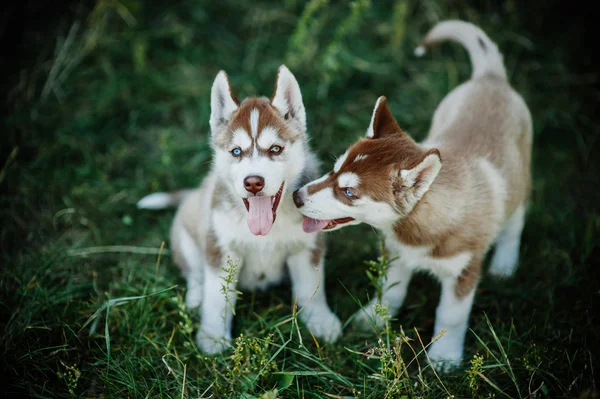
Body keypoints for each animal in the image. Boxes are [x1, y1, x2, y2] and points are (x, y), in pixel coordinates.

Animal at [138, 66, 340, 356]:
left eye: (275, 149)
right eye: (236, 151)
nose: (253, 182)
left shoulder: (307, 246)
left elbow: (312, 287)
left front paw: (321, 321)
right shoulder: (221, 249)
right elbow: (216, 297)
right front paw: (212, 335)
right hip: (186, 237)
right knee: (194, 274)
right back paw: (195, 298)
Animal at [292, 21, 532, 372]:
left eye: (349, 192)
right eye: (333, 170)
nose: (296, 196)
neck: (417, 229)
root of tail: (490, 77)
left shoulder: (464, 270)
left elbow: (451, 315)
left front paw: (444, 356)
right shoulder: (396, 253)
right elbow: (390, 291)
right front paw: (373, 318)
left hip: (521, 179)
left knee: (515, 220)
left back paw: (505, 262)